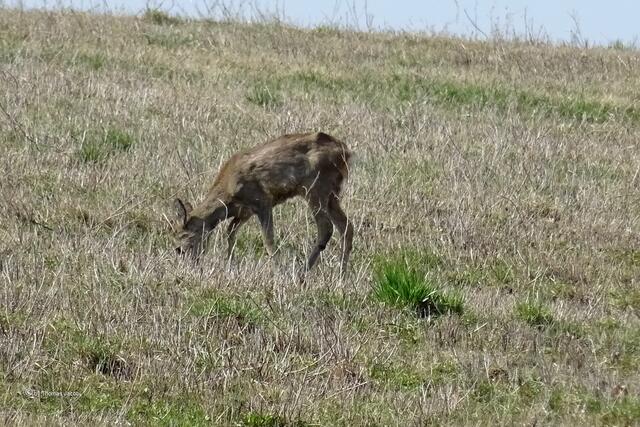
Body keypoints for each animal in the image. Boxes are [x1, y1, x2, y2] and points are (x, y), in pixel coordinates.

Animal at [172, 131, 354, 278]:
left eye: (183, 238)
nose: (180, 252)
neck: (227, 192)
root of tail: (345, 152)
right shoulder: (244, 211)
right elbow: (230, 232)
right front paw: (230, 266)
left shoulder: (262, 200)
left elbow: (268, 239)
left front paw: (279, 271)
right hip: (331, 194)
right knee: (346, 226)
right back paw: (341, 275)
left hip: (316, 188)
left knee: (326, 227)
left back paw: (302, 273)